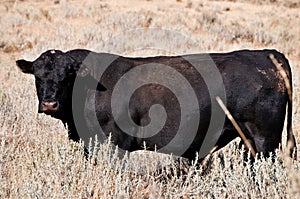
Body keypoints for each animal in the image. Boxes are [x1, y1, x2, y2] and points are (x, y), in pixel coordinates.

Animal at [17, 49, 296, 161]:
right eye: (38, 76)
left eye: (66, 76)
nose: (50, 103)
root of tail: (267, 54)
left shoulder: (114, 141)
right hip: (249, 140)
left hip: (265, 138)